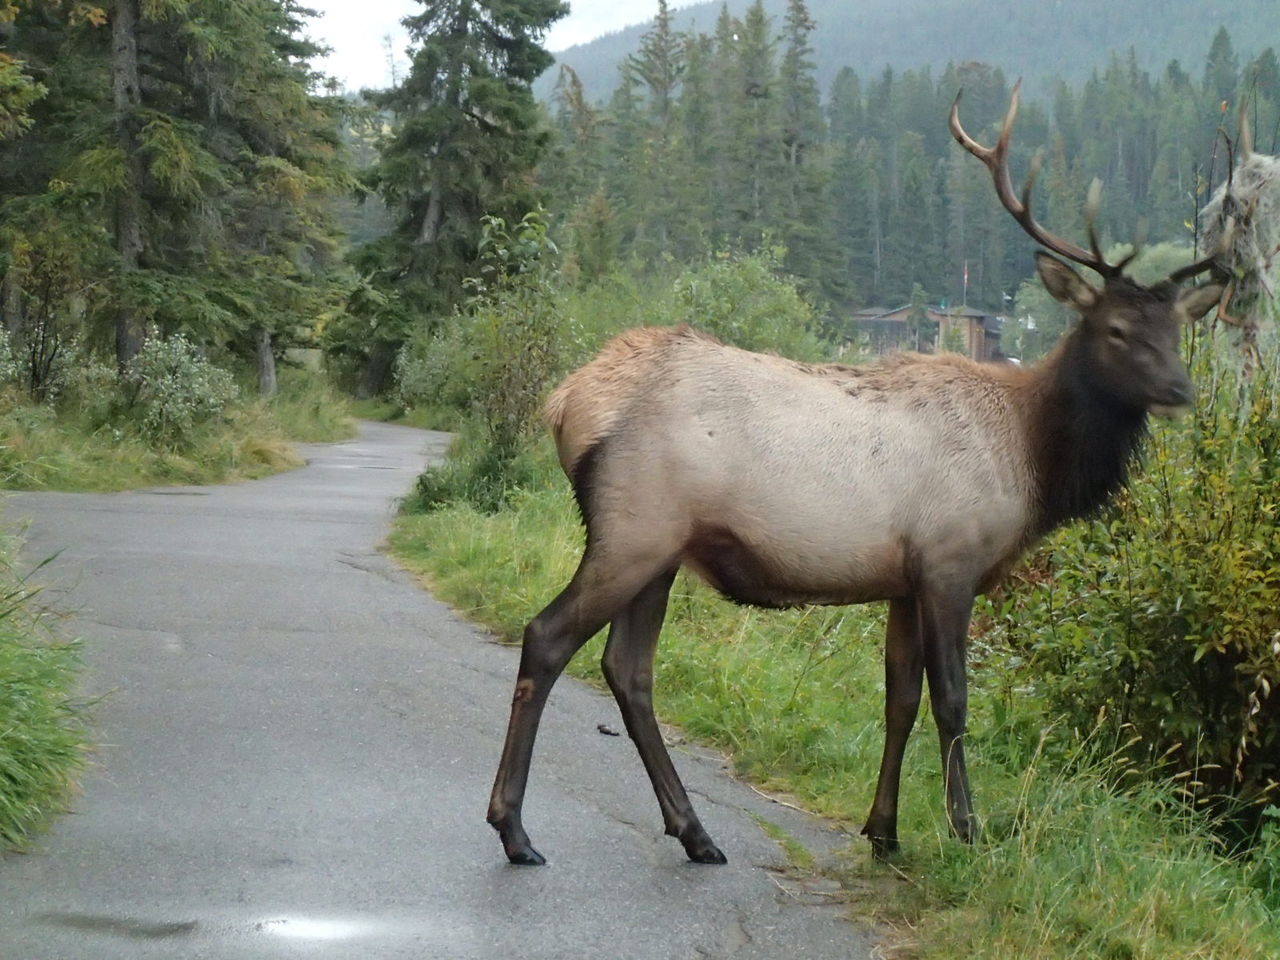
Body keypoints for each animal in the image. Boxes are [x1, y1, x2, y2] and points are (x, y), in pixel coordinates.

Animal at [486, 82, 1227, 866]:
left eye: (1176, 330)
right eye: (1116, 329)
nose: (1181, 389)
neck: (1032, 464)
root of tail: (567, 402)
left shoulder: (903, 579)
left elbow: (899, 699)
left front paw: (885, 830)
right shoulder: (950, 560)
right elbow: (952, 700)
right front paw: (969, 829)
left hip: (660, 550)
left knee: (629, 670)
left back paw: (694, 831)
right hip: (633, 528)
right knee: (548, 636)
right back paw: (516, 829)